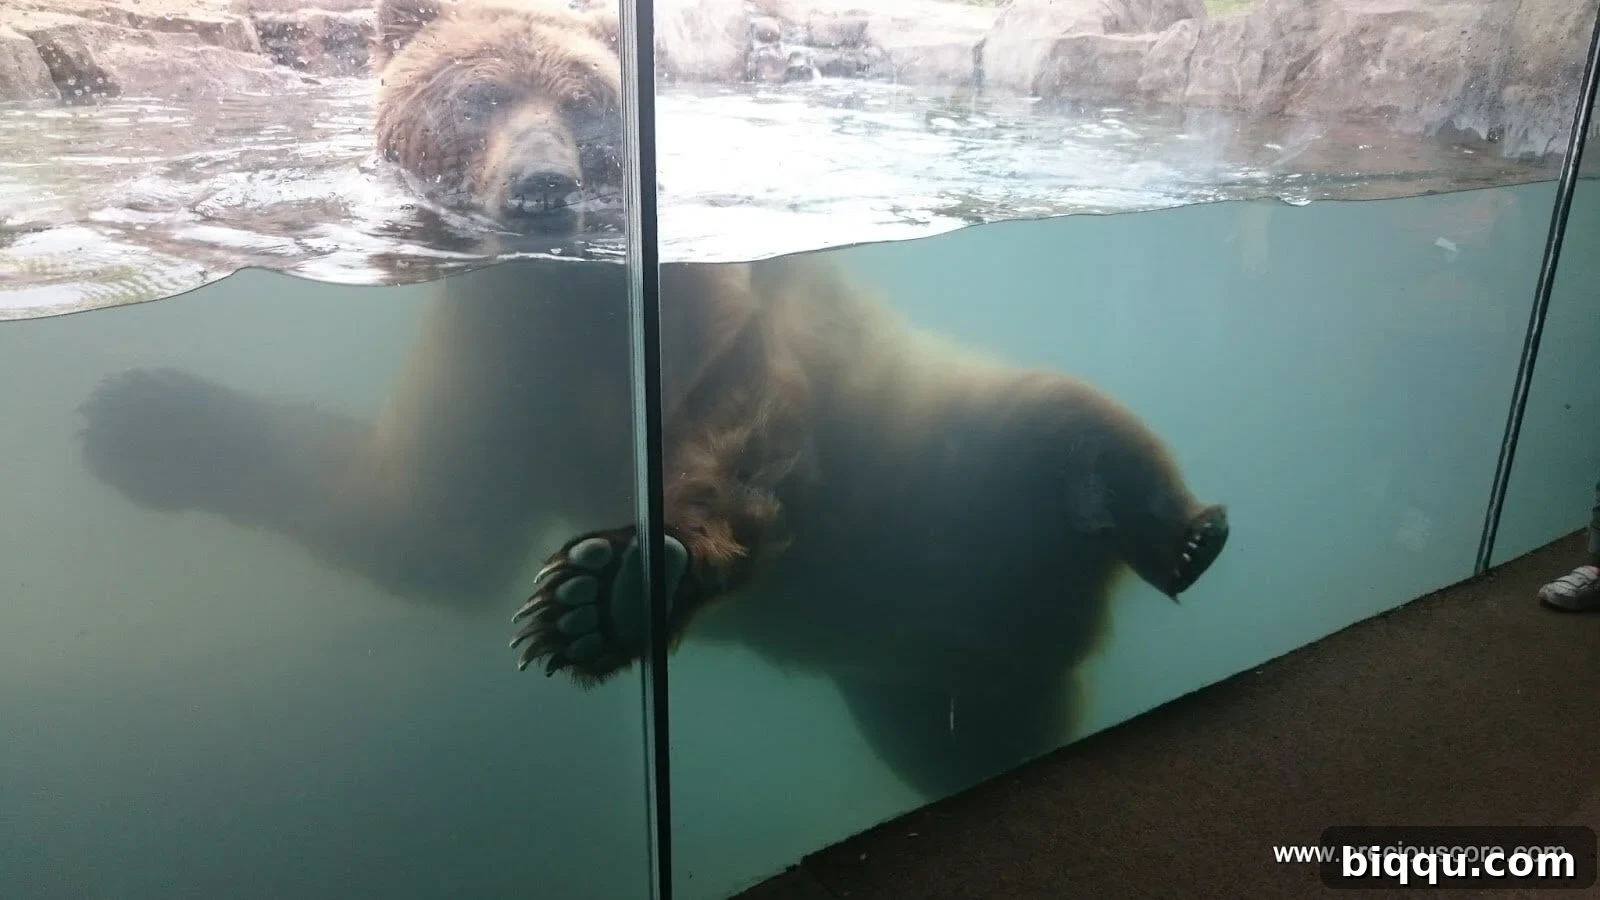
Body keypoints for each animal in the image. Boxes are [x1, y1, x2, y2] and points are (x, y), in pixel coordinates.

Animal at [74, 0, 1230, 801]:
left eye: (589, 102)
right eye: (477, 96)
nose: (541, 184)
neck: (570, 307)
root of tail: (1056, 636)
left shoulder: (714, 311)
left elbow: (742, 412)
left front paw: (609, 588)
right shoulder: (492, 350)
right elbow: (428, 519)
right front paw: (138, 417)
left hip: (949, 429)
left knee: (1065, 416)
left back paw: (1171, 526)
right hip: (916, 675)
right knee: (965, 731)